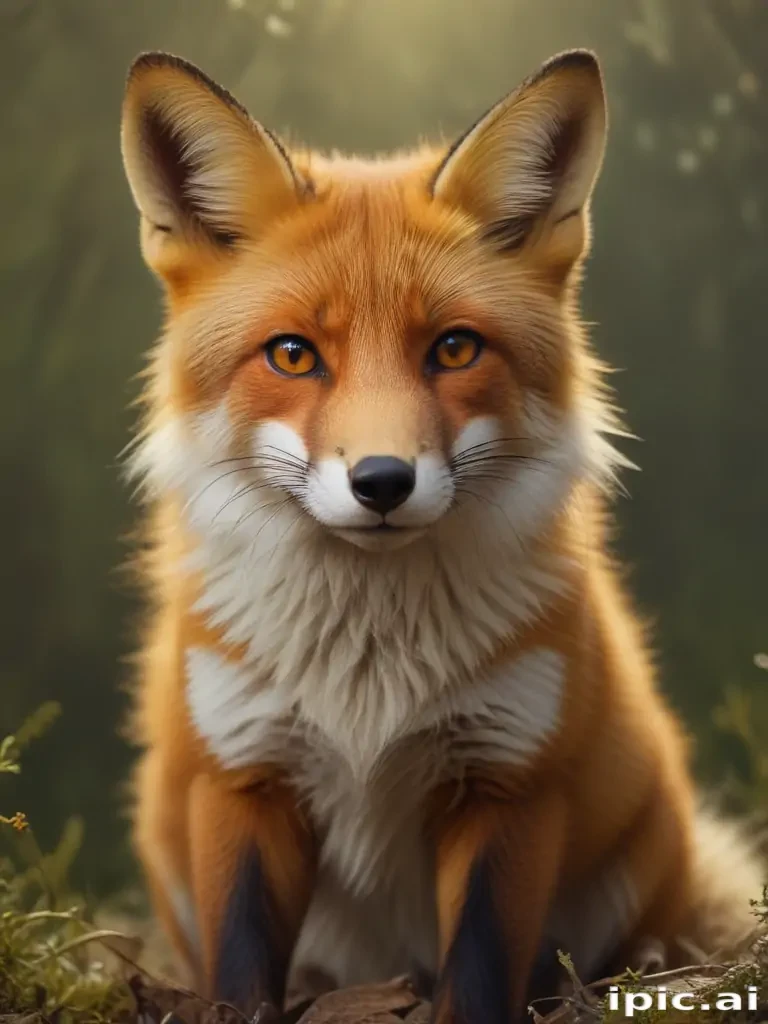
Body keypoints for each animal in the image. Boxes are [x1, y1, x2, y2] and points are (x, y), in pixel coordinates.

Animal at [120, 48, 765, 1023]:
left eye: (455, 349)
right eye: (293, 355)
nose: (383, 481)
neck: (367, 676)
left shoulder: (510, 783)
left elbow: (482, 972)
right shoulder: (242, 776)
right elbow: (240, 980)